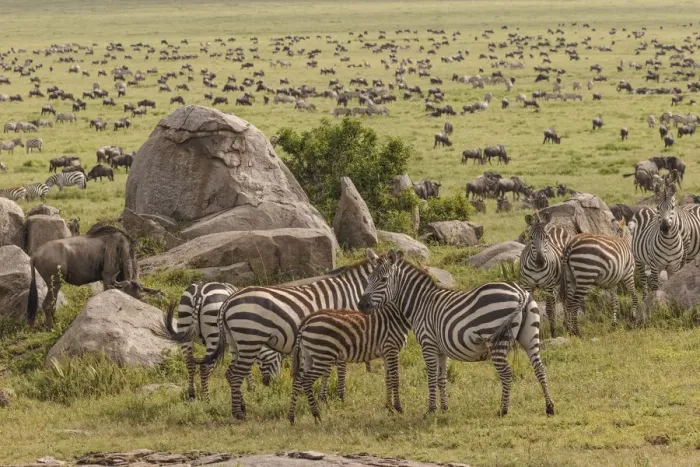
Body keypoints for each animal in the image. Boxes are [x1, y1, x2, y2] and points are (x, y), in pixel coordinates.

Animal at [195, 251, 379, 420]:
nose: (363, 306)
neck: (351, 292)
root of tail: (228, 300)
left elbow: (327, 370)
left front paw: (323, 398)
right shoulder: (339, 335)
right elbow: (340, 368)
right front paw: (337, 397)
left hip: (235, 343)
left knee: (230, 372)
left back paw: (241, 407)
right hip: (250, 339)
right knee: (234, 375)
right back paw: (236, 413)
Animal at [357, 249, 555, 417]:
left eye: (383, 279)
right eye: (369, 278)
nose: (361, 305)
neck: (421, 304)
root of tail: (521, 292)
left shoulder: (428, 345)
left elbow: (431, 378)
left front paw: (431, 410)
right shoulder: (441, 350)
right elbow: (442, 379)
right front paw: (444, 408)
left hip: (496, 338)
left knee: (506, 373)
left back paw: (503, 410)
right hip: (530, 336)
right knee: (539, 368)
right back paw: (549, 407)